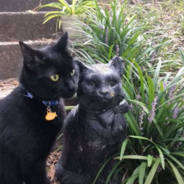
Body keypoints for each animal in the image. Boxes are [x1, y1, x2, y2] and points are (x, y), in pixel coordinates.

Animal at [55, 56, 129, 184]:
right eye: (92, 83)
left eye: (112, 83)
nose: (104, 92)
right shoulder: (93, 156)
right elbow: (98, 175)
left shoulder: (114, 151)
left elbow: (112, 169)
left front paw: (114, 179)